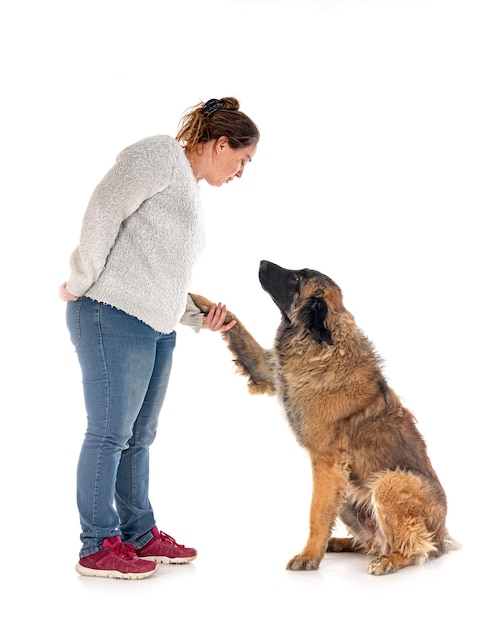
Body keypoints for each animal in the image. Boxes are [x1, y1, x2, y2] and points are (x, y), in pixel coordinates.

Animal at [189, 260, 458, 576]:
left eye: (296, 278)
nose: (262, 262)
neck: (319, 344)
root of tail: (442, 539)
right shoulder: (267, 369)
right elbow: (238, 328)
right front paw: (202, 303)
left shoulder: (327, 460)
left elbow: (316, 512)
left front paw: (308, 556)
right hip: (350, 494)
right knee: (372, 541)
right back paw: (341, 543)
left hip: (389, 482)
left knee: (412, 548)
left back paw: (389, 560)